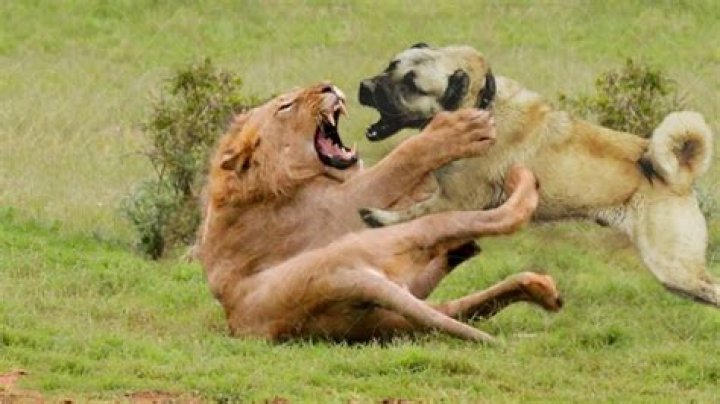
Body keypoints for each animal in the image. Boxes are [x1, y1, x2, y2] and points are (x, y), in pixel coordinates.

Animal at [195, 82, 563, 342]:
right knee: (497, 217)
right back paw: (519, 182)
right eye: (286, 105)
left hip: (395, 315)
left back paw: (534, 289)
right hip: (383, 245)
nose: (327, 86)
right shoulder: (342, 208)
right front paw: (460, 129)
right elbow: (401, 159)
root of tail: (338, 280)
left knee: (449, 310)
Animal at [357, 44, 719, 307]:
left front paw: (380, 218)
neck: (483, 104)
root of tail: (680, 174)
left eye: (411, 84)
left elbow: (413, 216)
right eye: (391, 65)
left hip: (672, 265)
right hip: (677, 276)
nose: (364, 86)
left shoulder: (451, 200)